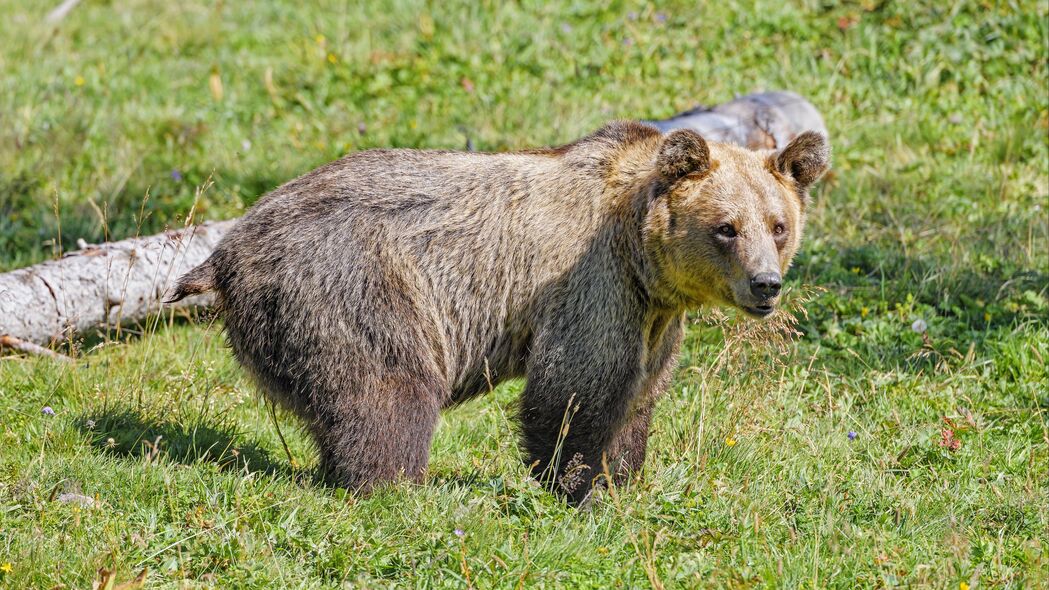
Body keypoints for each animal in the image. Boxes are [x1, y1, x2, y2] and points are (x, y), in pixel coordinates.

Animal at [167, 119, 826, 499]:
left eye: (778, 225)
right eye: (726, 228)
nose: (766, 285)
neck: (644, 255)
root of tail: (227, 250)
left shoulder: (654, 315)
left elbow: (639, 392)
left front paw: (624, 477)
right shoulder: (594, 284)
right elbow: (576, 387)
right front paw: (579, 487)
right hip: (350, 283)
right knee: (388, 390)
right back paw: (397, 486)